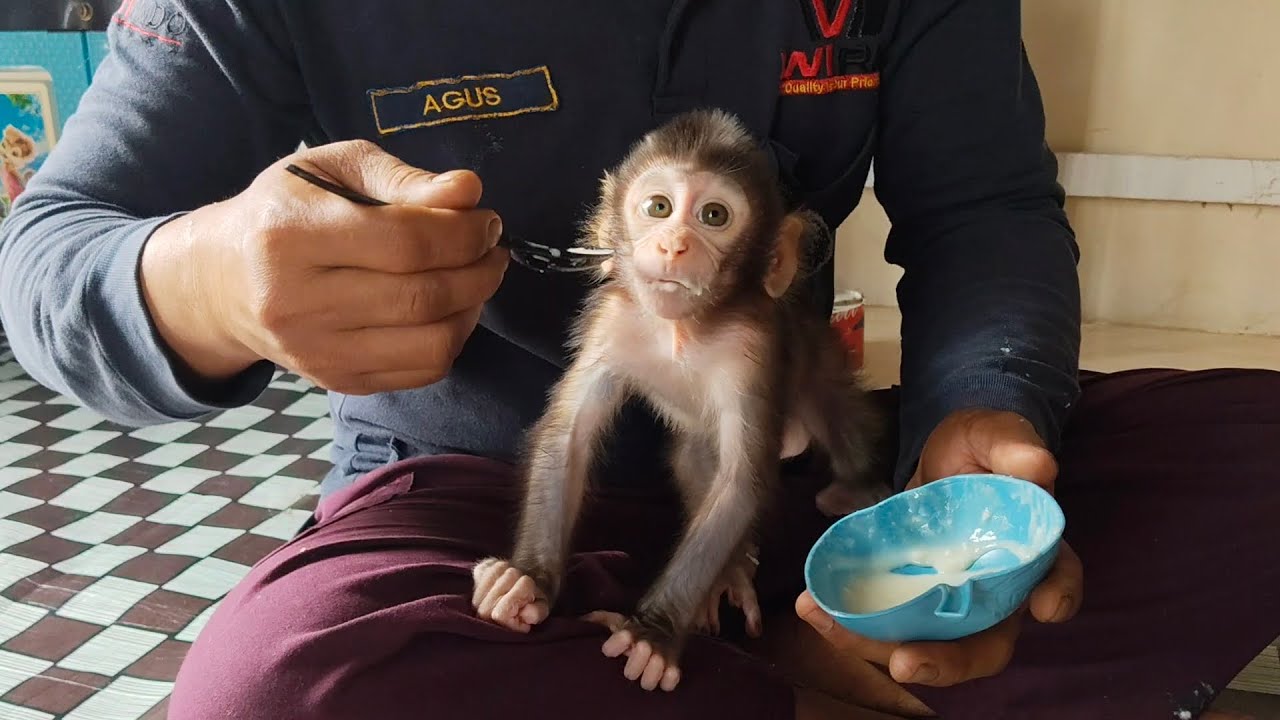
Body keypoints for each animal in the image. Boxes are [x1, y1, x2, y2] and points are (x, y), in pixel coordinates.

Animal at [471, 108, 885, 692]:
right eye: (659, 208)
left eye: (714, 215)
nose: (673, 246)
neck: (681, 329)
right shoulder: (613, 320)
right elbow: (569, 434)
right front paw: (526, 579)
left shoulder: (750, 346)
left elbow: (740, 480)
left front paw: (653, 635)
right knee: (692, 457)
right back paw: (731, 572)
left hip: (820, 371)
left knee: (838, 415)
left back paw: (856, 491)